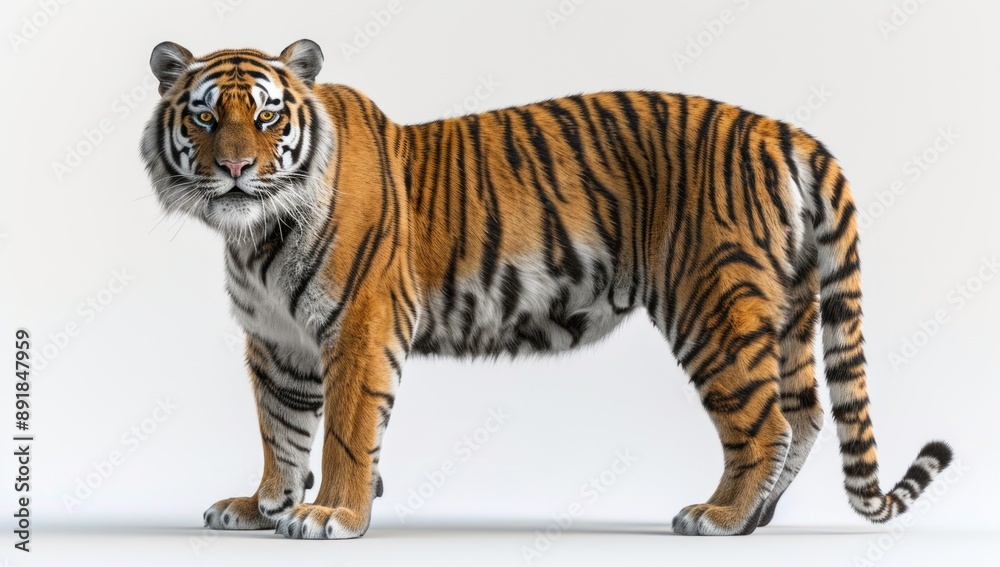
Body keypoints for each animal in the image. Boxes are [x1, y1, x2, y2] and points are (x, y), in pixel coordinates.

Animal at [140, 39, 953, 539]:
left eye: (267, 115)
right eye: (206, 115)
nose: (237, 168)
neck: (254, 234)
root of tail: (784, 130)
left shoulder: (361, 324)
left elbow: (343, 428)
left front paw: (331, 513)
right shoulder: (276, 343)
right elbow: (281, 428)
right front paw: (262, 505)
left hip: (715, 302)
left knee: (768, 422)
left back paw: (717, 517)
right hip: (786, 304)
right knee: (808, 410)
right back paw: (754, 519)